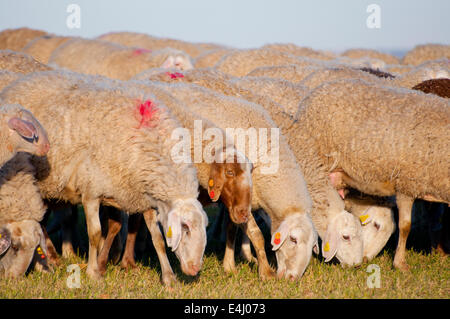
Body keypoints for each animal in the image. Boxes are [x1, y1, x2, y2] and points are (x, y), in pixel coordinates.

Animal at [296, 79, 450, 272]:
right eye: (376, 225)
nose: (364, 259)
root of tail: (317, 91)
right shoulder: (406, 184)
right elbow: (405, 226)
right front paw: (400, 264)